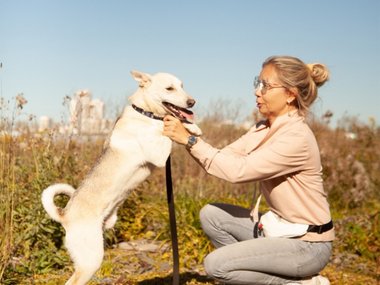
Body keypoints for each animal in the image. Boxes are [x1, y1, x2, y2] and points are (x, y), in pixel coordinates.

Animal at [41, 70, 202, 284]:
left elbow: (180, 122)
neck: (145, 113)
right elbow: (165, 130)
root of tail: (64, 214)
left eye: (182, 86)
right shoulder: (159, 154)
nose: (192, 102)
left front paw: (193, 128)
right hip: (91, 259)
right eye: (169, 88)